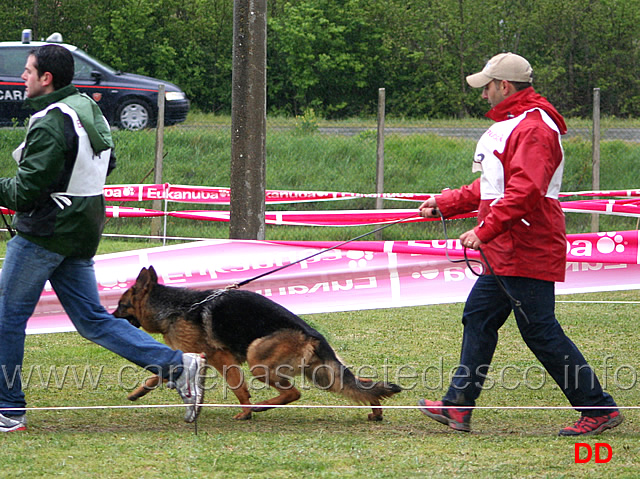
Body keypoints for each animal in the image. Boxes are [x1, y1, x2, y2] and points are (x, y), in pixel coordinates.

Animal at [111, 268, 400, 422]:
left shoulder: (220, 358)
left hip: (258, 361)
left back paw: (261, 406)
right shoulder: (192, 356)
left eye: (121, 305)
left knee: (294, 393)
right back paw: (376, 411)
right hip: (323, 376)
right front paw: (139, 392)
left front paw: (246, 412)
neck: (176, 307)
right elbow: (160, 373)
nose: (108, 316)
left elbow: (238, 388)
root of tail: (313, 335)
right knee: (363, 385)